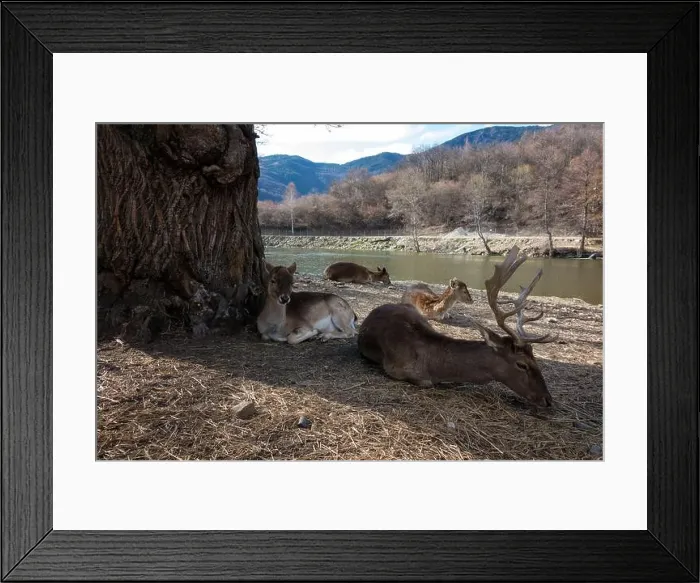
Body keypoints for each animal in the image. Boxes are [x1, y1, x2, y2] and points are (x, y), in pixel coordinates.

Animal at [357, 245, 558, 407]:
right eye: (522, 364)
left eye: (535, 359)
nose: (548, 399)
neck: (434, 365)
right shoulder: (395, 368)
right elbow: (426, 382)